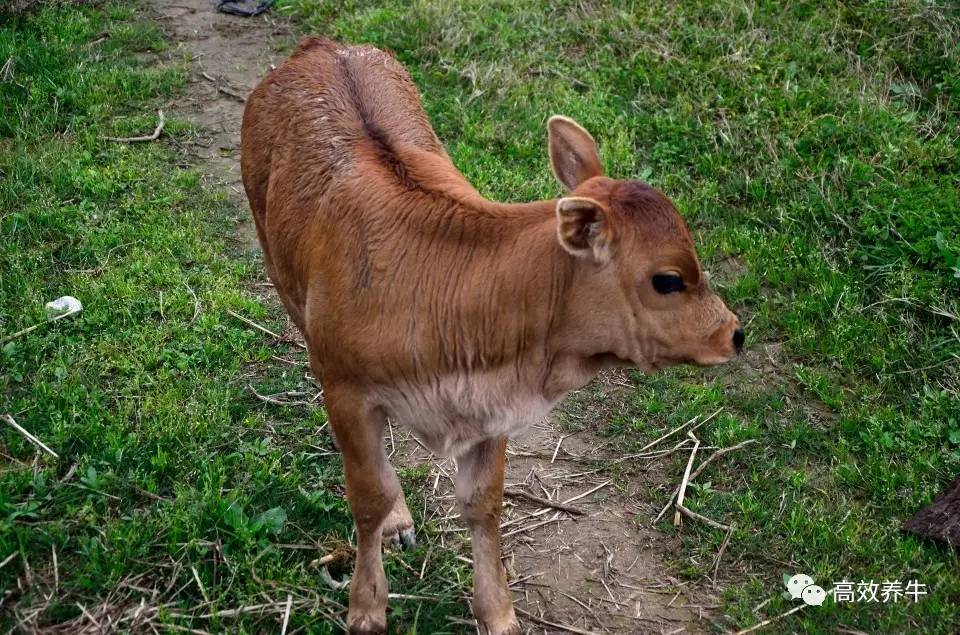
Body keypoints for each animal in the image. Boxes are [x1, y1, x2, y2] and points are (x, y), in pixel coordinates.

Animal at [242, 38, 744, 635]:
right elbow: (368, 495)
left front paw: (498, 613)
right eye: (668, 279)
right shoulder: (345, 389)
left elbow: (483, 503)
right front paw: (366, 606)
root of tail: (324, 46)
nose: (734, 333)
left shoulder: (492, 401)